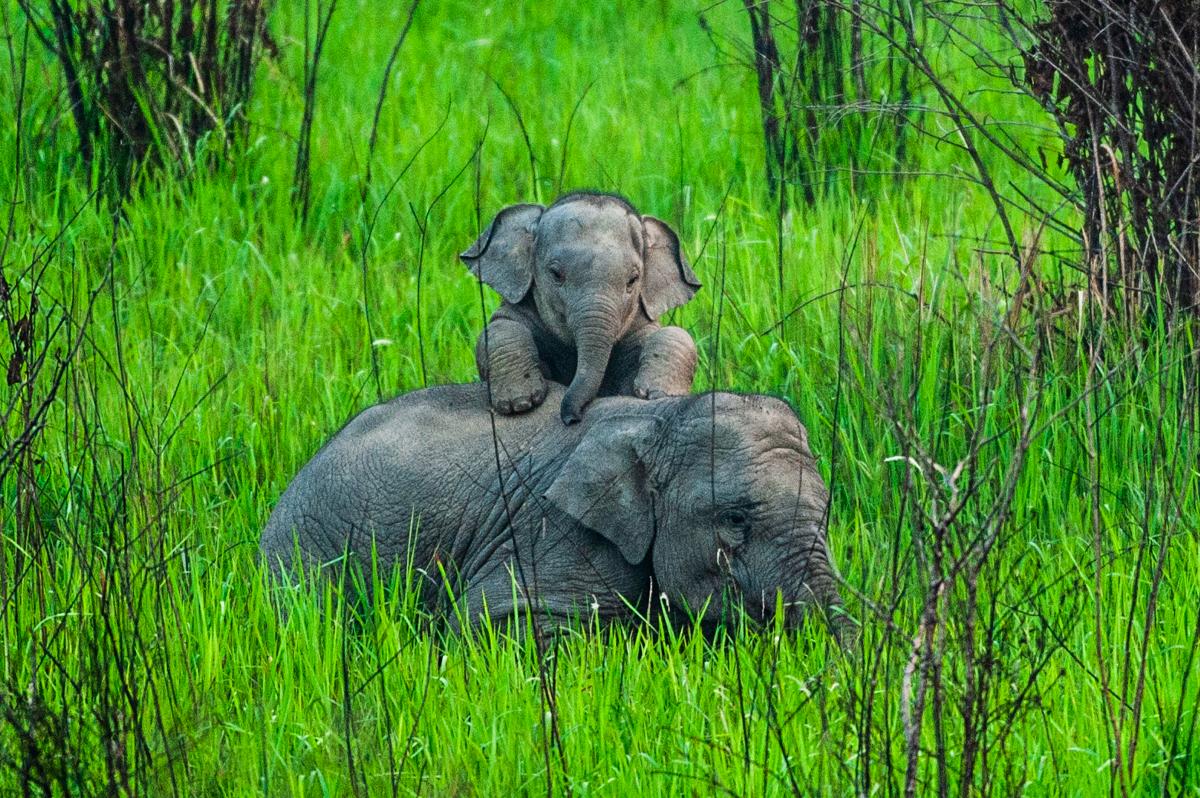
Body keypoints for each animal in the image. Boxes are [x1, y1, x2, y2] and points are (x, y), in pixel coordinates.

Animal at [461, 192, 702, 424]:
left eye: (633, 280)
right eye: (556, 274)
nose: (571, 418)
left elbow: (674, 334)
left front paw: (657, 394)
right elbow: (497, 329)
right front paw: (520, 403)